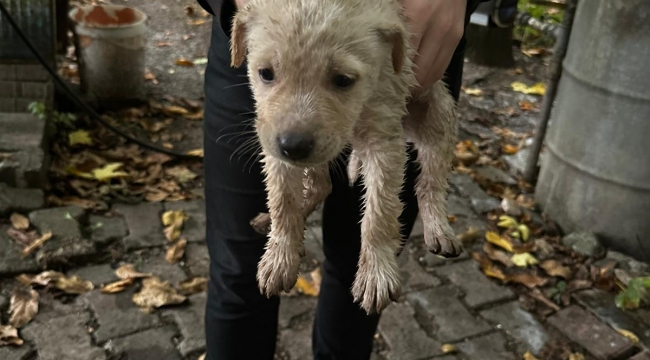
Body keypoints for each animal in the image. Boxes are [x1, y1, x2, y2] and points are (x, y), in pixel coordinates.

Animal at [230, 0, 458, 314]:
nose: (294, 146)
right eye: (265, 73)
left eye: (343, 80)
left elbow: (379, 212)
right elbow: (283, 200)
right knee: (320, 185)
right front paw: (280, 254)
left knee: (430, 182)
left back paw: (438, 227)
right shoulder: (272, 139)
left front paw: (376, 271)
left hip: (436, 113)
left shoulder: (384, 141)